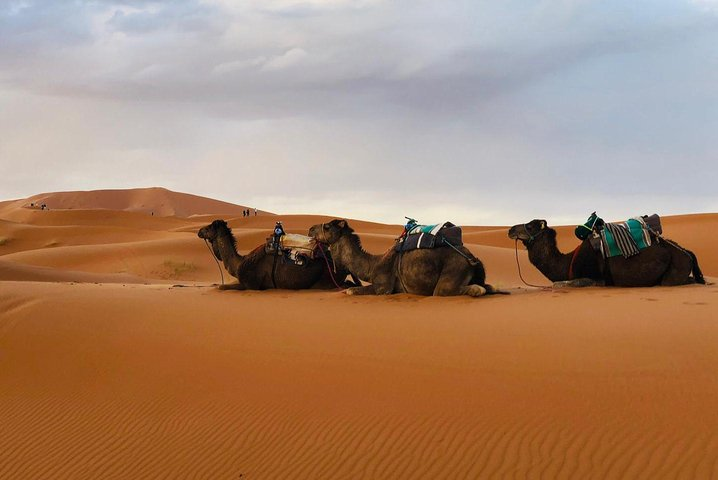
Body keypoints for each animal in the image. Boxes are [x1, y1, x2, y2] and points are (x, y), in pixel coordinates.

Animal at [198, 219, 358, 290]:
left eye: (209, 227)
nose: (199, 231)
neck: (239, 263)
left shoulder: (252, 285)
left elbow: (221, 287)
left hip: (325, 281)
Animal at [308, 219, 502, 296]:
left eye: (327, 227)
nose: (310, 229)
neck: (373, 265)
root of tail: (472, 258)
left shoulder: (383, 286)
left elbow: (351, 290)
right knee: (488, 286)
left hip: (452, 272)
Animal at [508, 219, 705, 287]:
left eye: (530, 225)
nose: (510, 229)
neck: (568, 262)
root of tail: (687, 252)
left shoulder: (594, 279)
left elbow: (559, 284)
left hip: (674, 270)